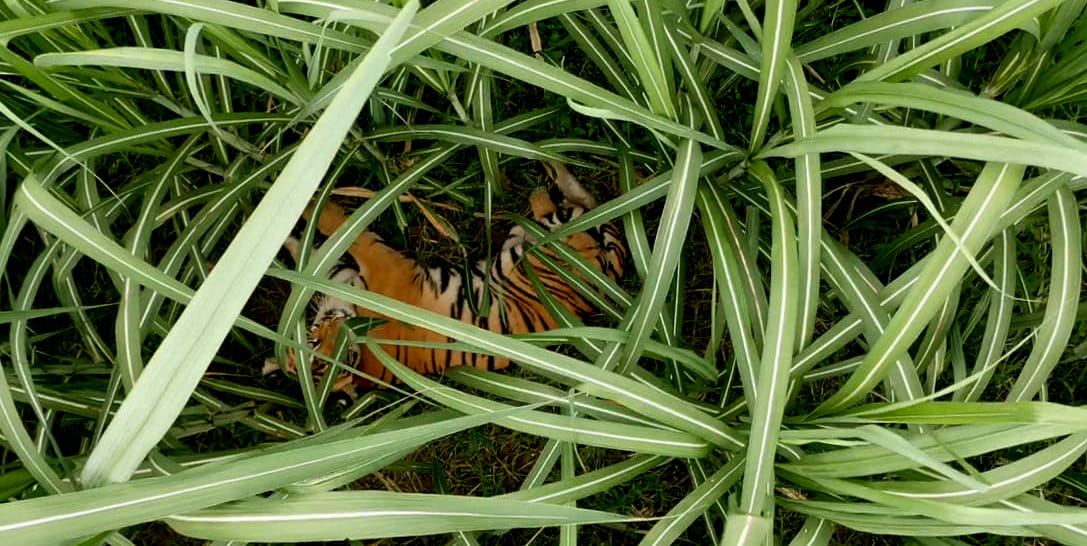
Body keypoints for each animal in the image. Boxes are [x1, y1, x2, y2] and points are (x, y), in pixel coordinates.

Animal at [265, 162, 627, 398]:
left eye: (314, 347)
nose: (336, 333)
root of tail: (608, 281)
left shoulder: (372, 262)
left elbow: (332, 232)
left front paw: (295, 203)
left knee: (580, 209)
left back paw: (544, 170)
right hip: (546, 247)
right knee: (581, 213)